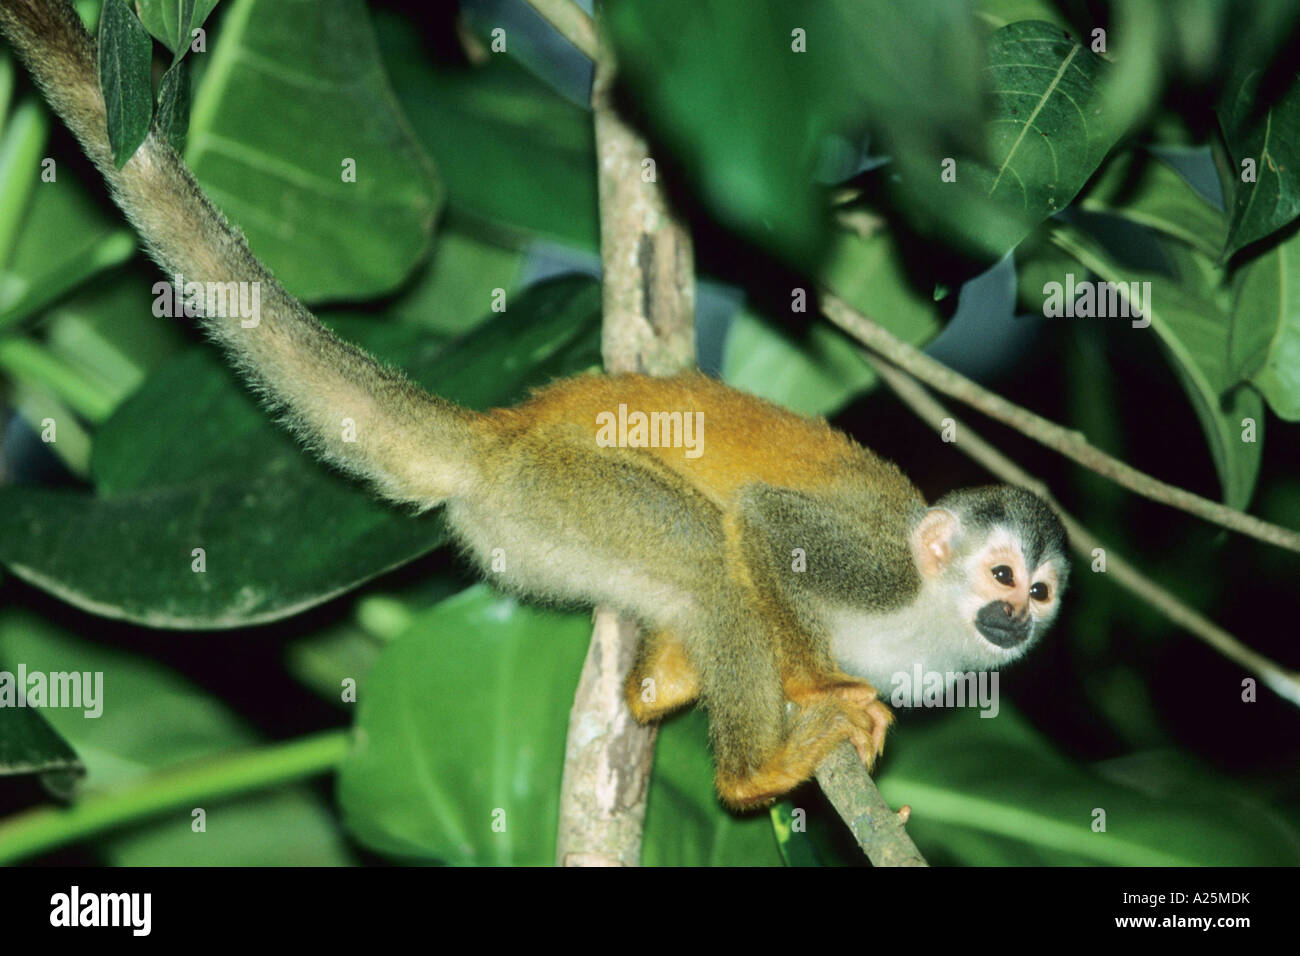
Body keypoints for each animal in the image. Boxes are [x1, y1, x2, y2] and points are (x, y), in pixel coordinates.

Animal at [5, 0, 1071, 806]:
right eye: (1002, 575)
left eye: (1043, 592)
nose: (1016, 618)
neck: (930, 616)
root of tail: (498, 436)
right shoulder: (875, 562)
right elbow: (769, 530)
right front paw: (813, 683)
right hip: (563, 492)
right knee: (706, 548)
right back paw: (754, 770)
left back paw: (659, 687)